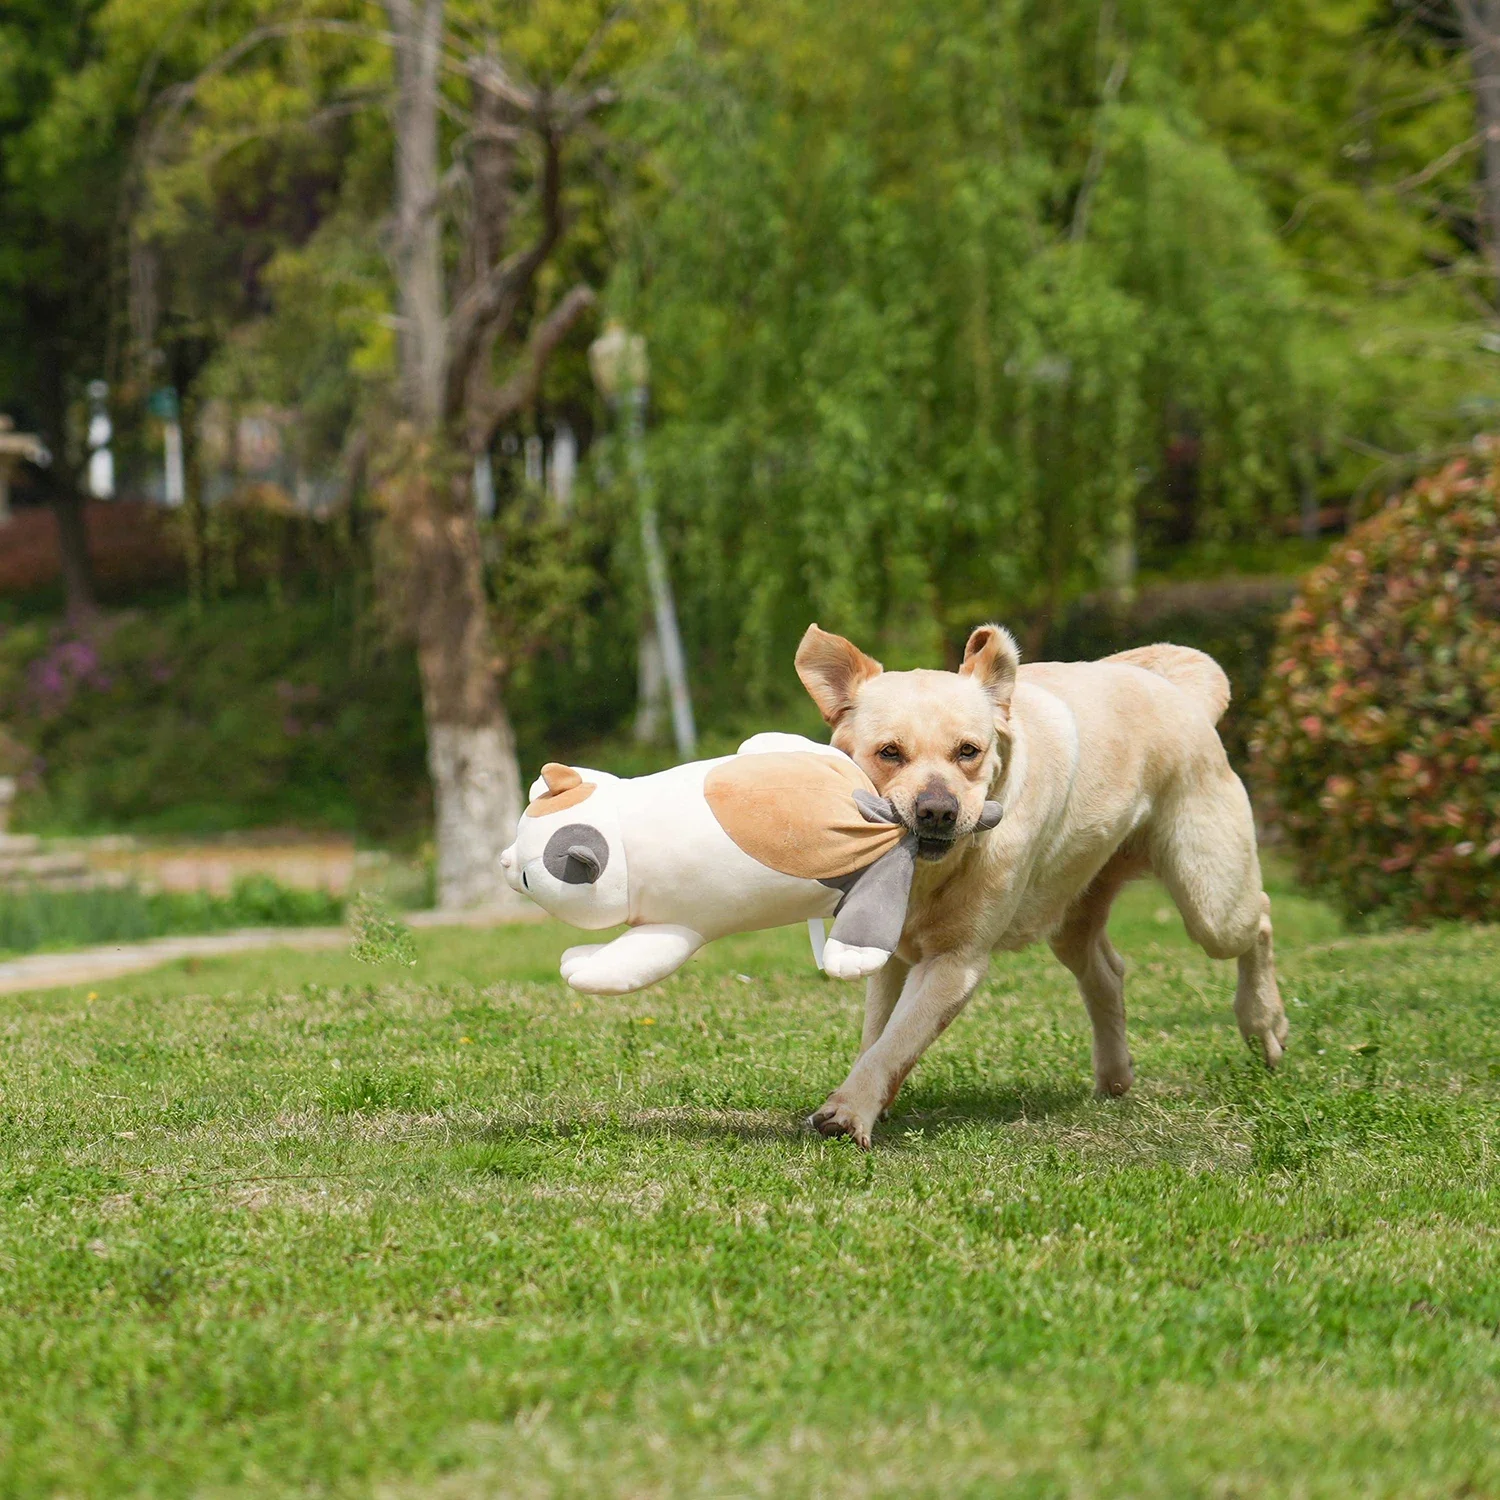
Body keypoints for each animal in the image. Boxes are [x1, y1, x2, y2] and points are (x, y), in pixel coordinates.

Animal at [798, 621, 1290, 1146]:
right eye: (890, 752)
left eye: (968, 751)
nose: (938, 811)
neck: (927, 873)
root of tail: (1184, 694)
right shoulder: (888, 950)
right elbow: (877, 1035)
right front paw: (872, 1101)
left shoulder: (955, 962)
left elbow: (897, 1039)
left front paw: (850, 1111)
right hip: (1071, 918)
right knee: (1107, 973)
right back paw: (1115, 1075)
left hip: (1211, 902)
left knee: (1259, 919)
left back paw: (1265, 1025)